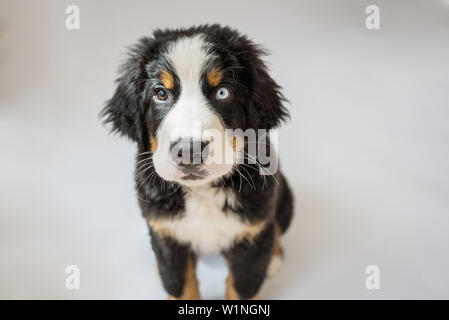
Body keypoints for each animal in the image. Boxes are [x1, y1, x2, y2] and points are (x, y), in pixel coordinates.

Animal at [100, 25, 294, 300]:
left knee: (275, 228)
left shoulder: (253, 232)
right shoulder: (167, 235)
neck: (203, 192)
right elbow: (181, 284)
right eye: (161, 94)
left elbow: (242, 287)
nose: (189, 151)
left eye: (222, 92)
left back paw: (274, 258)